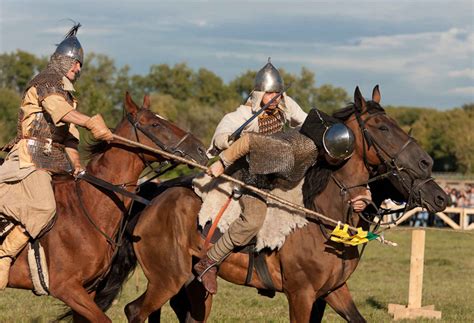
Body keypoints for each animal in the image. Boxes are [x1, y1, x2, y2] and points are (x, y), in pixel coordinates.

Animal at [101, 86, 448, 323]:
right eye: (383, 128)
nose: (428, 165)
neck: (322, 214)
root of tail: (152, 198)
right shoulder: (301, 294)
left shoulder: (333, 292)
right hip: (167, 278)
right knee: (134, 310)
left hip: (189, 286)